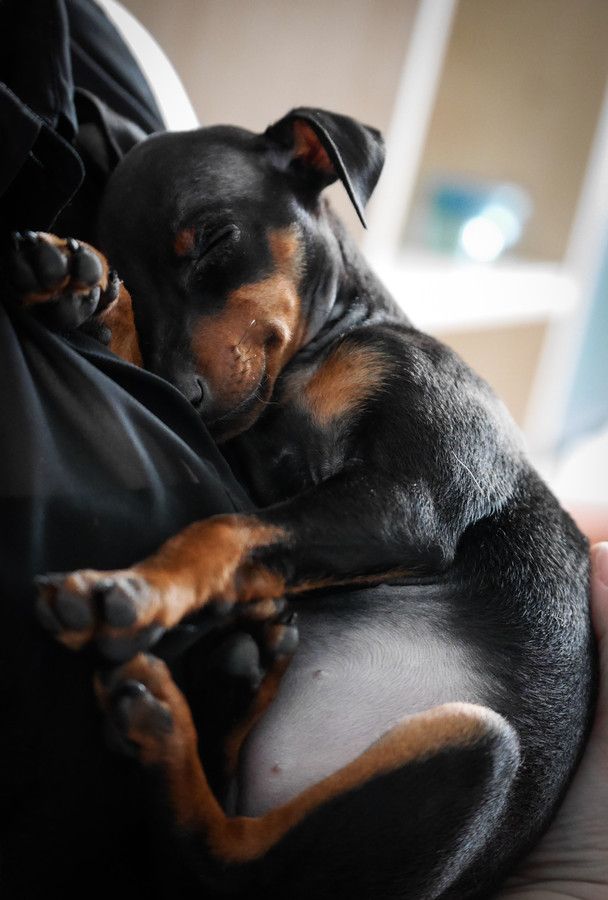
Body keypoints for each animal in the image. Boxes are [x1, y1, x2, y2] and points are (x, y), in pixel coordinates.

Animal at [4, 109, 592, 896]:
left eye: (215, 239)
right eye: (143, 279)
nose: (184, 391)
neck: (326, 350)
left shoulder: (405, 502)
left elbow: (222, 531)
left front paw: (133, 588)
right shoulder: (250, 457)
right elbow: (233, 507)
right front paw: (88, 299)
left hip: (478, 743)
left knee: (219, 863)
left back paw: (166, 726)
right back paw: (234, 677)